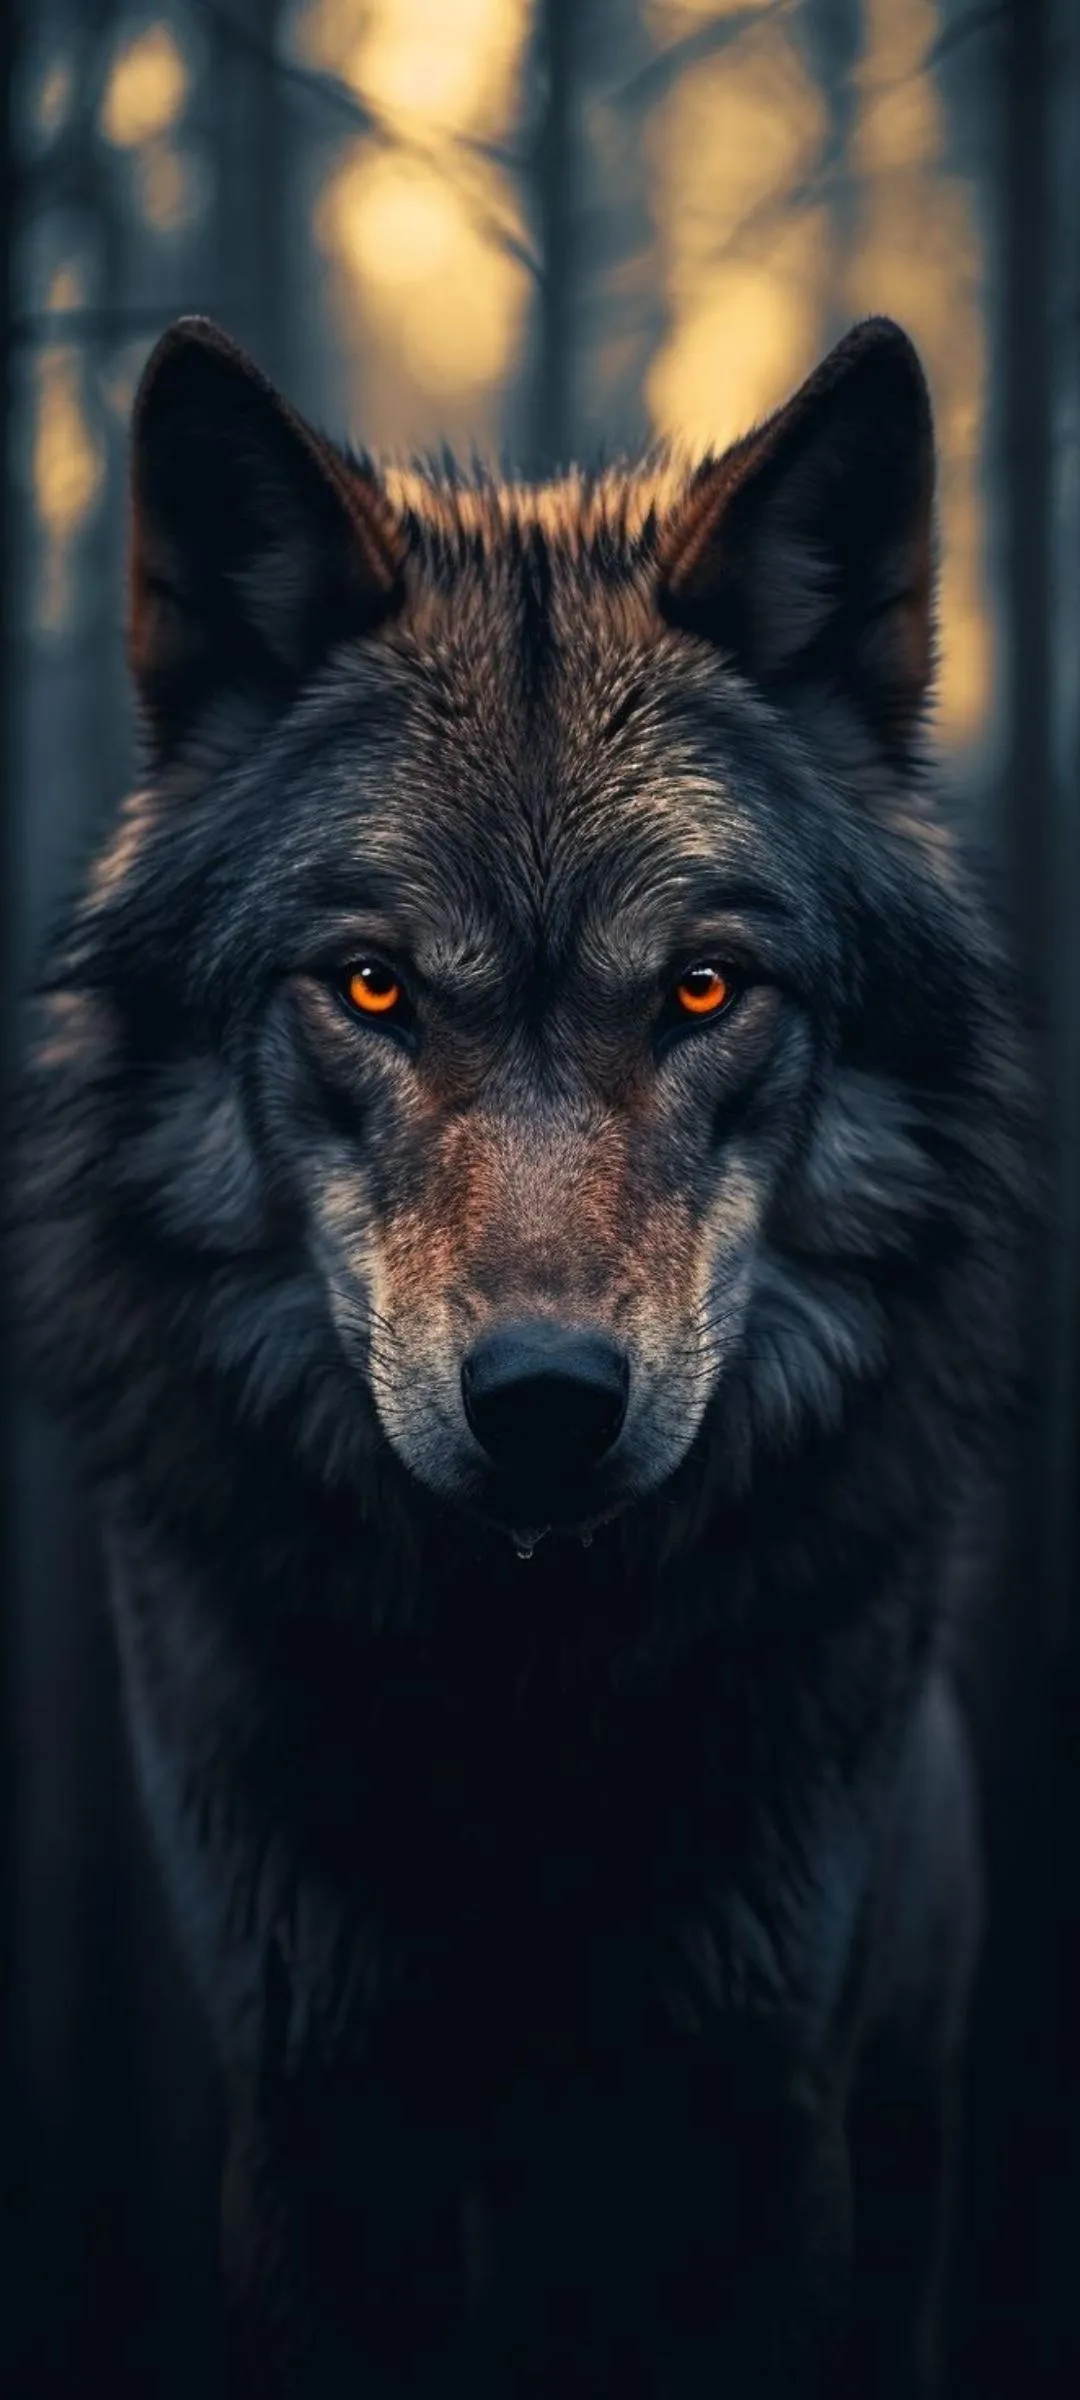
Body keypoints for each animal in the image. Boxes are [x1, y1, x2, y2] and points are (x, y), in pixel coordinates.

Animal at [14, 312, 1031, 2396]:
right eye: (373, 984)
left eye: (707, 989)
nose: (549, 1404)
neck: (526, 1691)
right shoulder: (320, 2089)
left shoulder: (753, 2102)